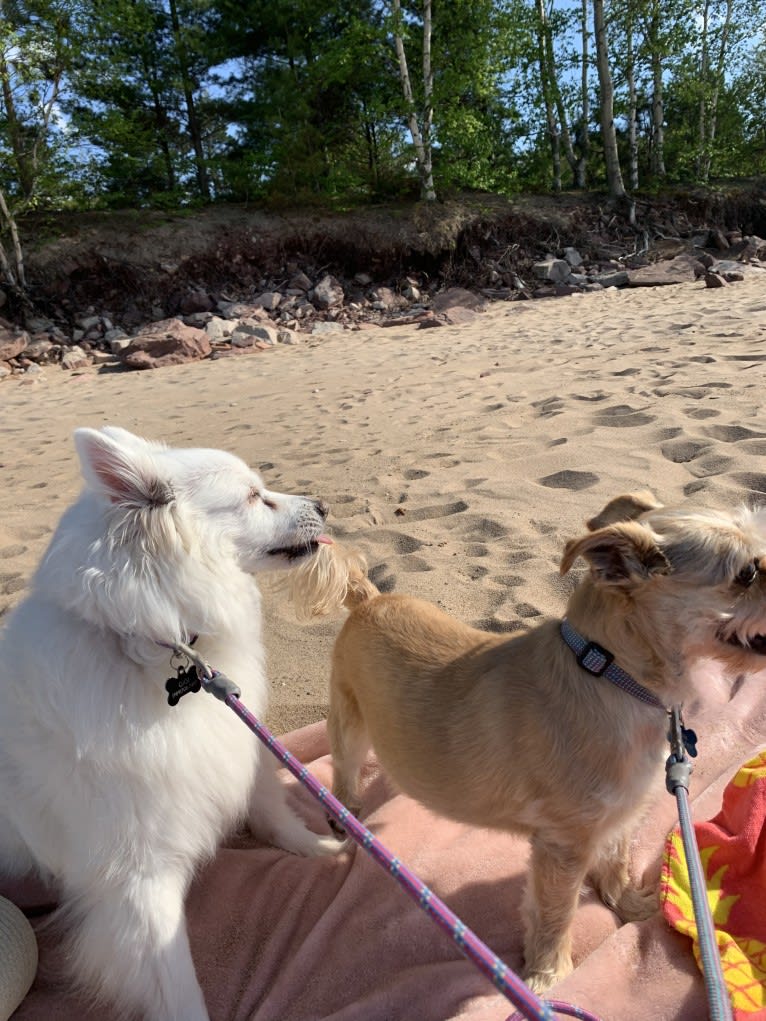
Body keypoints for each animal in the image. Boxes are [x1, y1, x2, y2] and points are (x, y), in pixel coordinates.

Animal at [0, 428, 339, 1021]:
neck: (150, 649)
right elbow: (177, 984)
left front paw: (318, 848)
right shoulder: (136, 880)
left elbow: (271, 811)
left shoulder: (235, 752)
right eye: (254, 498)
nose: (323, 504)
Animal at [285, 492, 766, 988]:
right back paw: (346, 815)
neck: (610, 674)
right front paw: (548, 976)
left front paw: (628, 904)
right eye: (747, 573)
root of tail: (370, 598)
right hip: (349, 722)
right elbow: (556, 913)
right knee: (343, 771)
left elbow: (616, 861)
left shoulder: (620, 812)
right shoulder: (563, 844)